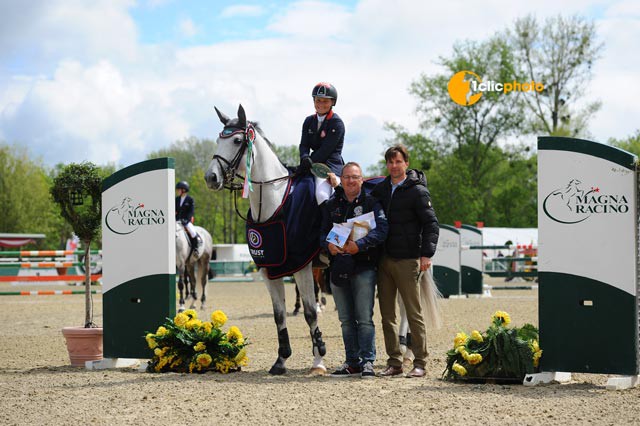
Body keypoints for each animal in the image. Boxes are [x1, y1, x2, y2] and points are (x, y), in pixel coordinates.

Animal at [205, 105, 324, 374]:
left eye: (237, 140)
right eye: (218, 140)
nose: (211, 177)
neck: (274, 200)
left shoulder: (302, 266)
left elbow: (310, 313)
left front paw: (318, 360)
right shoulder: (269, 269)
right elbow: (278, 314)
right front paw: (281, 361)